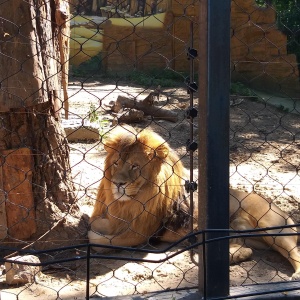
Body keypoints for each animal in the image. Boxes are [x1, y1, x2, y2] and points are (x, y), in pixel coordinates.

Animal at [88, 124, 300, 278]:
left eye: (135, 166)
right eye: (116, 163)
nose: (118, 183)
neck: (129, 201)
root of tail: (284, 212)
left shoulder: (140, 233)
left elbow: (104, 240)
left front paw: (94, 236)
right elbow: (97, 222)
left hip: (273, 228)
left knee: (294, 253)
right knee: (245, 248)